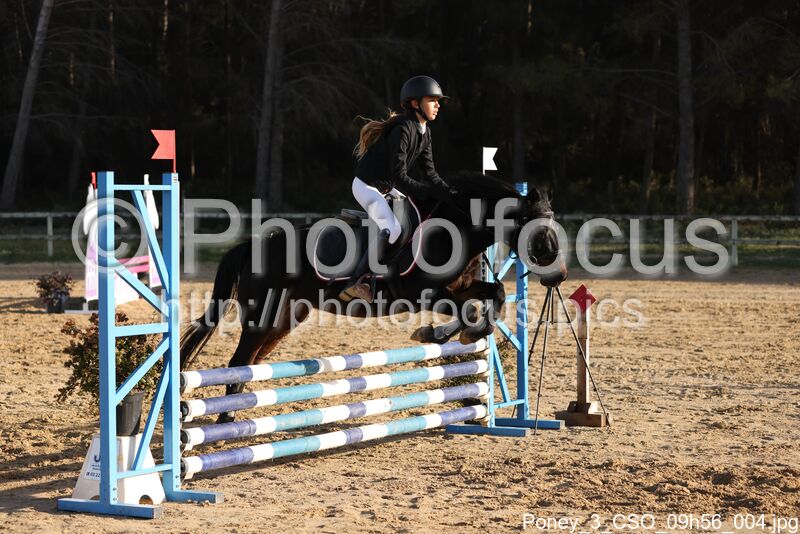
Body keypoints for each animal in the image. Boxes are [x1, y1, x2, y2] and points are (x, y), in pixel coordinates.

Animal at [180, 172, 567, 423]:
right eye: (539, 232)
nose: (561, 275)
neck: (455, 230)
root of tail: (252, 246)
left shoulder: (461, 287)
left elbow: (495, 295)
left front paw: (452, 333)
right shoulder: (425, 294)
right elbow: (467, 312)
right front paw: (446, 332)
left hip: (284, 319)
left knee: (252, 362)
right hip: (262, 316)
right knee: (238, 362)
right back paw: (227, 420)